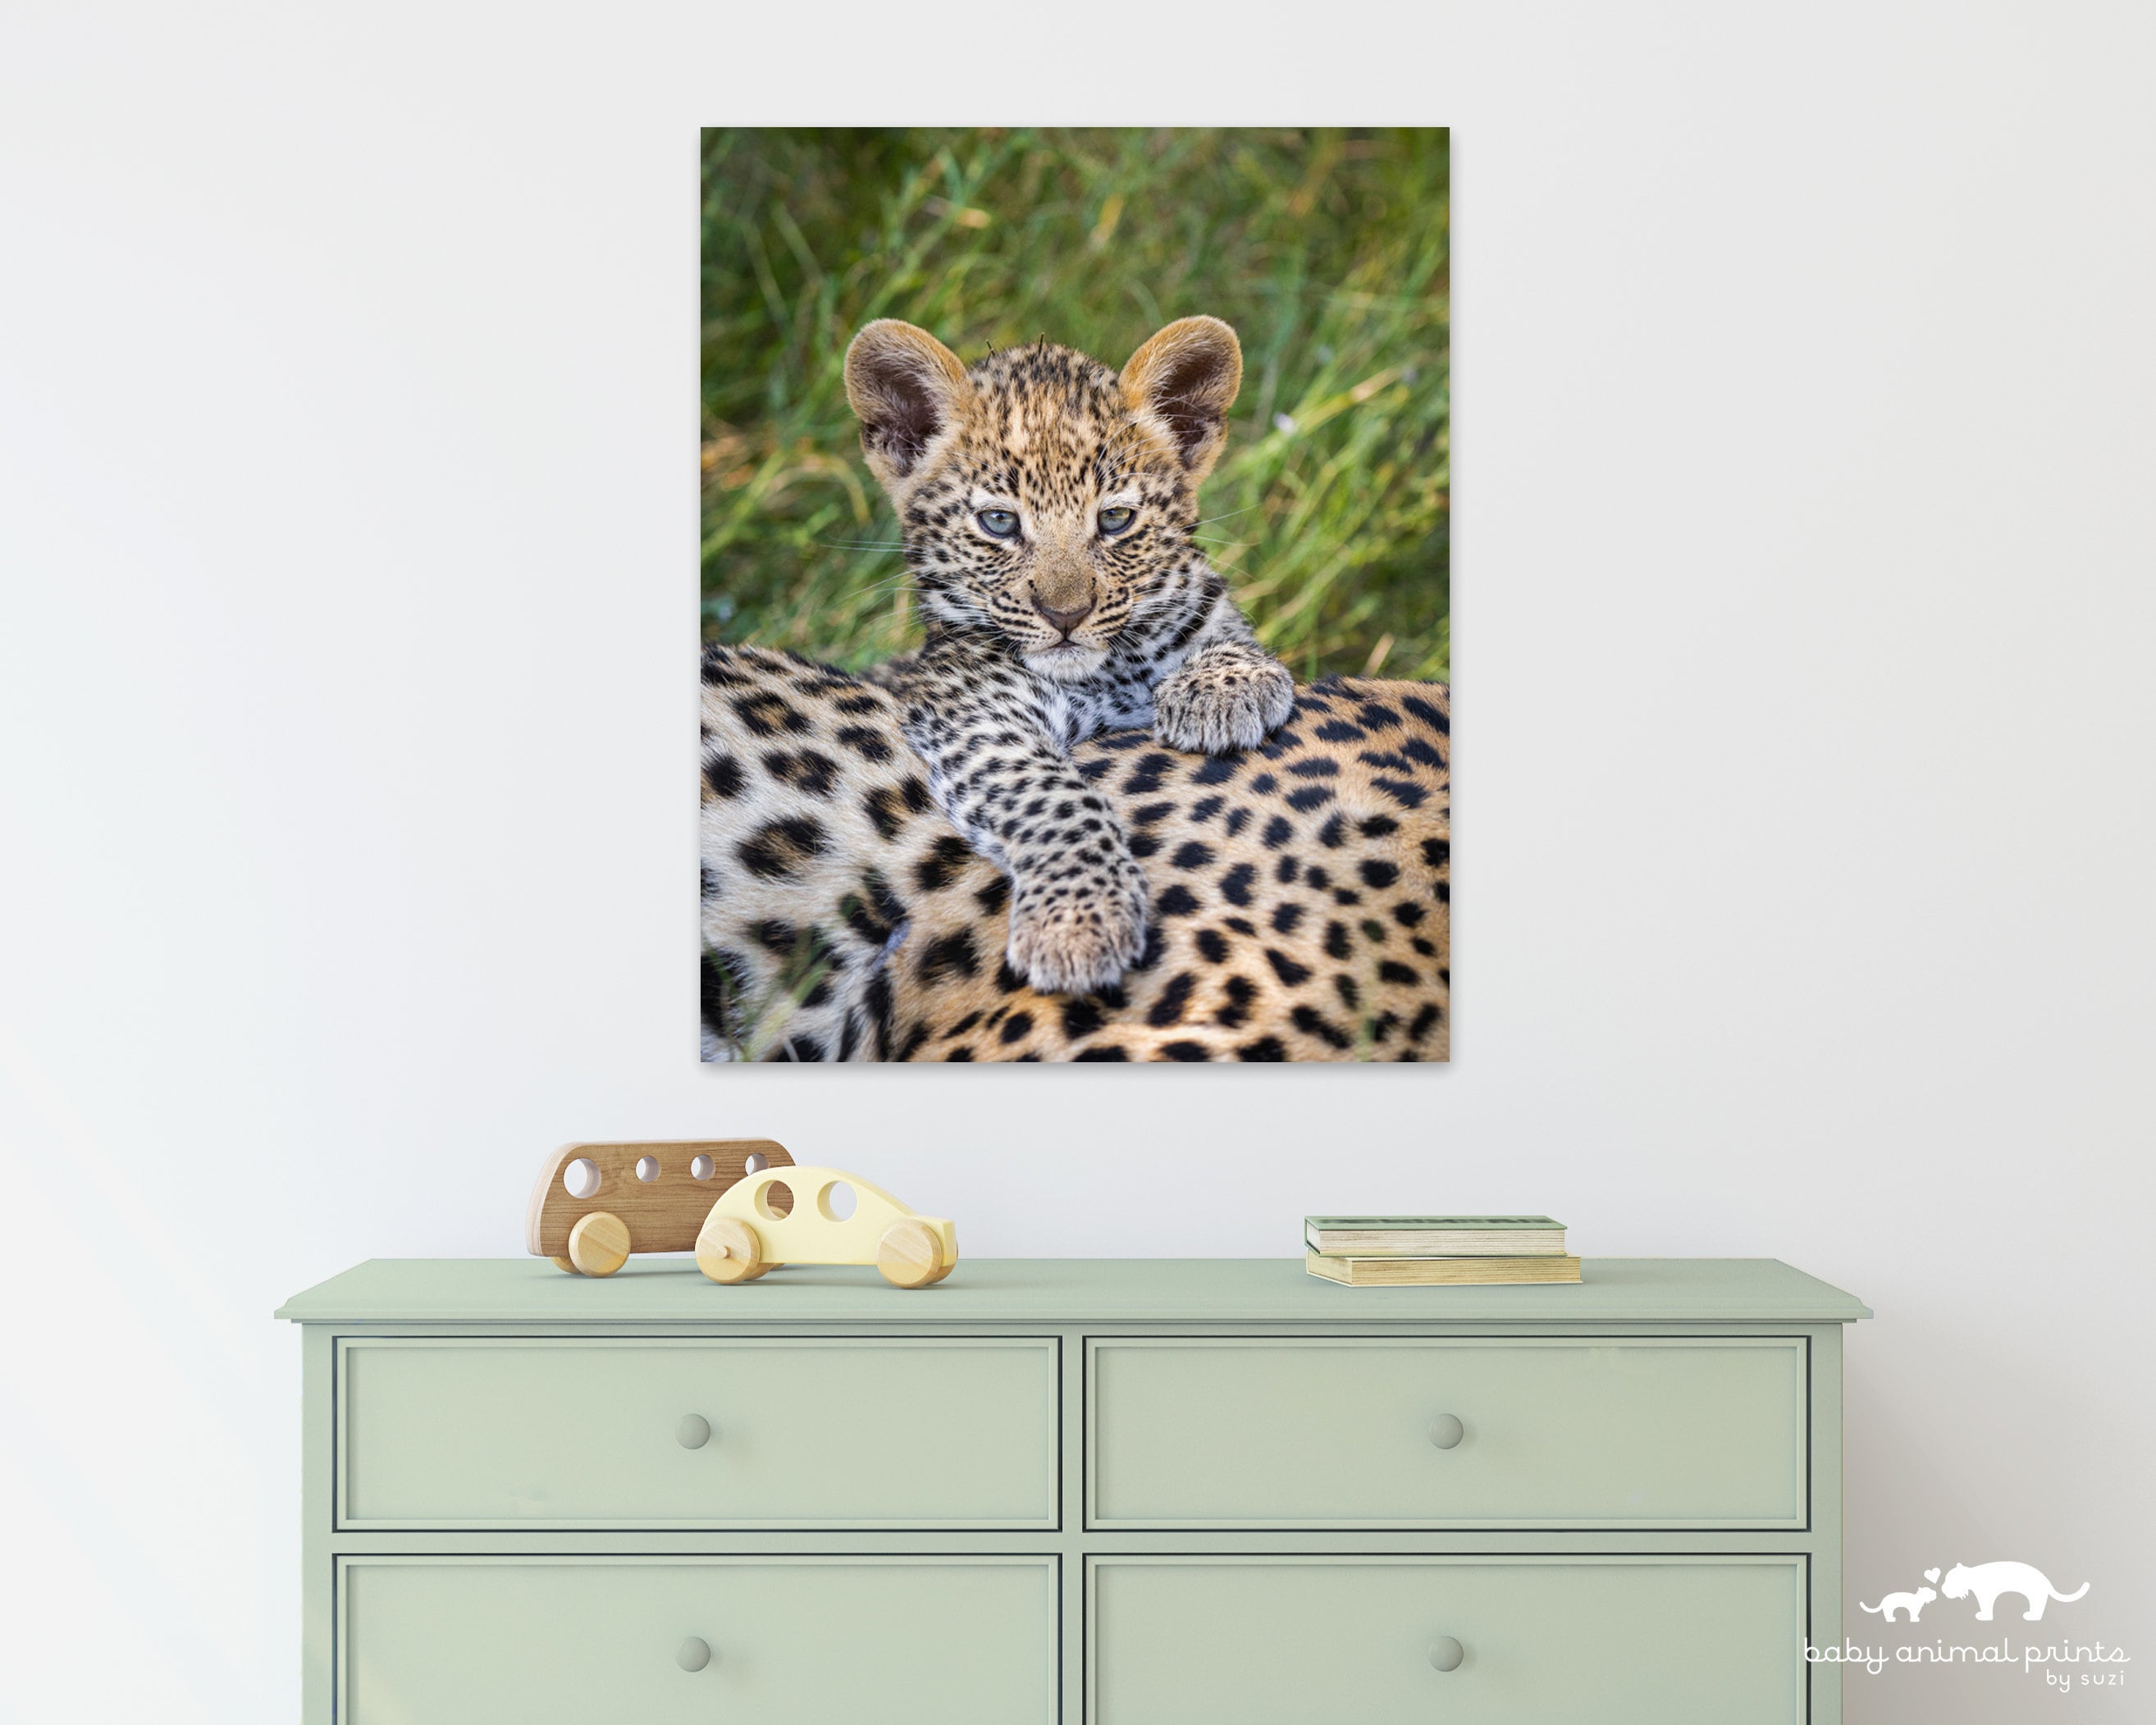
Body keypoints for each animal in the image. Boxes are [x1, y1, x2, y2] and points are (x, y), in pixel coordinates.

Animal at [841, 315, 1296, 996]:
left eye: (1116, 520)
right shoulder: (972, 711)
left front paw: (1221, 688)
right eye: (999, 523)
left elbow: (1215, 623)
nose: (1066, 614)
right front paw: (1078, 922)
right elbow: (1053, 797)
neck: (1115, 670)